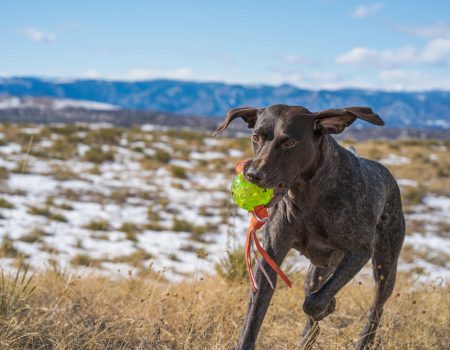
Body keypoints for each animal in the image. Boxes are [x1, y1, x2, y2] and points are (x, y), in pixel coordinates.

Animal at [213, 104, 406, 350]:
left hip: (384, 265)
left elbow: (314, 302)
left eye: (289, 143)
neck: (308, 195)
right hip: (318, 270)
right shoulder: (271, 257)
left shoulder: (360, 252)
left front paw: (327, 306)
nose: (252, 175)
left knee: (376, 307)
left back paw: (364, 340)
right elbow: (253, 318)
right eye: (256, 137)